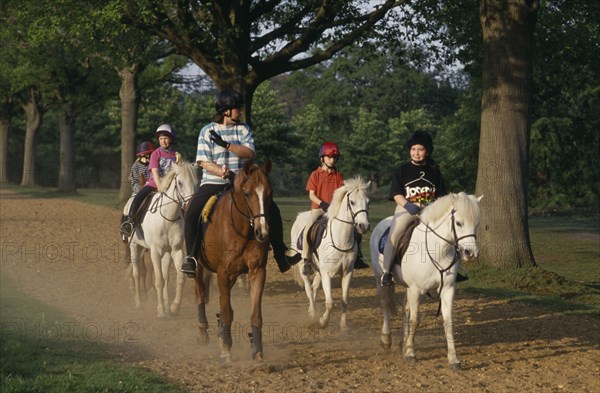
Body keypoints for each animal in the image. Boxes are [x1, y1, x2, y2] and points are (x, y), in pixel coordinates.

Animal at [123, 161, 199, 316]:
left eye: (196, 182)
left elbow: (179, 278)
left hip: (163, 253)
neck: (168, 217)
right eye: (180, 183)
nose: (190, 204)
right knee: (136, 273)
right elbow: (158, 280)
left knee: (164, 275)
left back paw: (166, 304)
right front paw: (161, 311)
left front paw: (174, 306)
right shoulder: (155, 251)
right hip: (134, 245)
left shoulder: (176, 251)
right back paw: (139, 302)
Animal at [195, 159, 272, 362]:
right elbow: (227, 311)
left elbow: (255, 314)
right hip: (198, 268)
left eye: (269, 193)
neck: (242, 229)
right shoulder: (223, 273)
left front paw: (257, 351)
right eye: (247, 193)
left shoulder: (257, 271)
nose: (262, 232)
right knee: (200, 294)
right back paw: (203, 331)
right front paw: (226, 350)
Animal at [290, 176, 370, 330]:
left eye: (368, 201)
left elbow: (344, 301)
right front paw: (323, 321)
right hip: (305, 267)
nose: (364, 226)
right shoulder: (327, 273)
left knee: (314, 288)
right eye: (352, 202)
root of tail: (299, 217)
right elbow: (330, 302)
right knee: (309, 289)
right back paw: (313, 313)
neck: (341, 240)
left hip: (319, 270)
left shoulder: (347, 273)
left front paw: (343, 326)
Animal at [370, 191, 482, 370]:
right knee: (385, 304)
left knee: (405, 309)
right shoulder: (416, 289)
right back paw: (386, 339)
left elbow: (448, 322)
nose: (471, 253)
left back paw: (403, 341)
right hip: (380, 278)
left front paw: (453, 359)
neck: (438, 250)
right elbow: (415, 320)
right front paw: (410, 354)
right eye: (458, 223)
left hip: (407, 287)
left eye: (476, 223)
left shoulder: (447, 289)